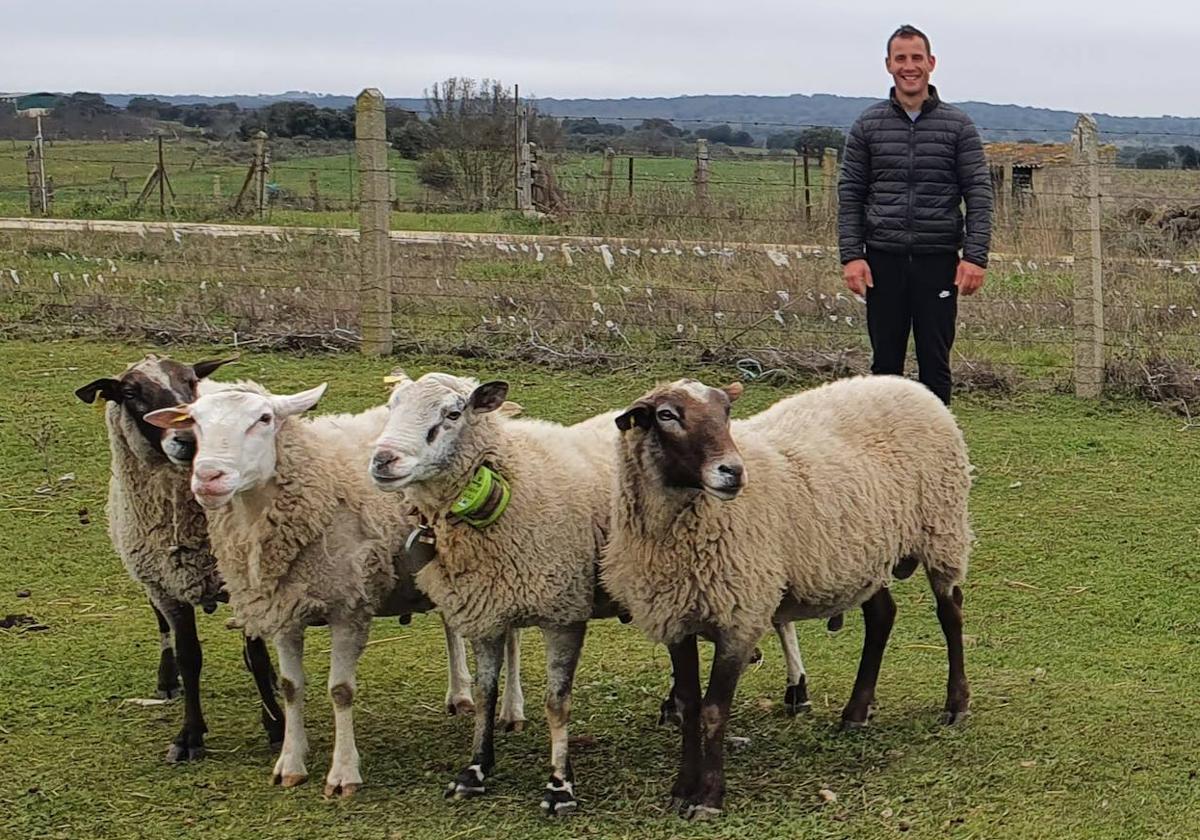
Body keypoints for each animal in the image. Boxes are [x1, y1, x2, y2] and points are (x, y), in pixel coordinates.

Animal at [72, 355, 283, 763]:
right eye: (129, 392)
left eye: (190, 382)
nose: (188, 440)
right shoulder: (167, 585)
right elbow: (190, 657)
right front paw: (189, 735)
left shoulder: (241, 578)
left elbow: (257, 657)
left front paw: (276, 726)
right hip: (151, 576)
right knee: (161, 627)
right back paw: (167, 680)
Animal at [142, 379, 513, 792]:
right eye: (194, 422)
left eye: (264, 419)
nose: (208, 478)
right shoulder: (284, 610)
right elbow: (290, 685)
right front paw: (290, 763)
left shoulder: (348, 609)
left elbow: (341, 691)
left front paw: (343, 773)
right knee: (453, 624)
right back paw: (460, 693)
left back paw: (507, 709)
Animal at [600, 376, 974, 820]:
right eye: (667, 415)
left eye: (727, 411)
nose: (733, 472)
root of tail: (909, 385)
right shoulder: (677, 616)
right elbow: (690, 707)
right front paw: (681, 790)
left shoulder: (741, 616)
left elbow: (713, 711)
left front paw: (708, 798)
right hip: (866, 552)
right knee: (882, 616)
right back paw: (856, 712)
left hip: (942, 528)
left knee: (950, 613)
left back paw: (956, 703)